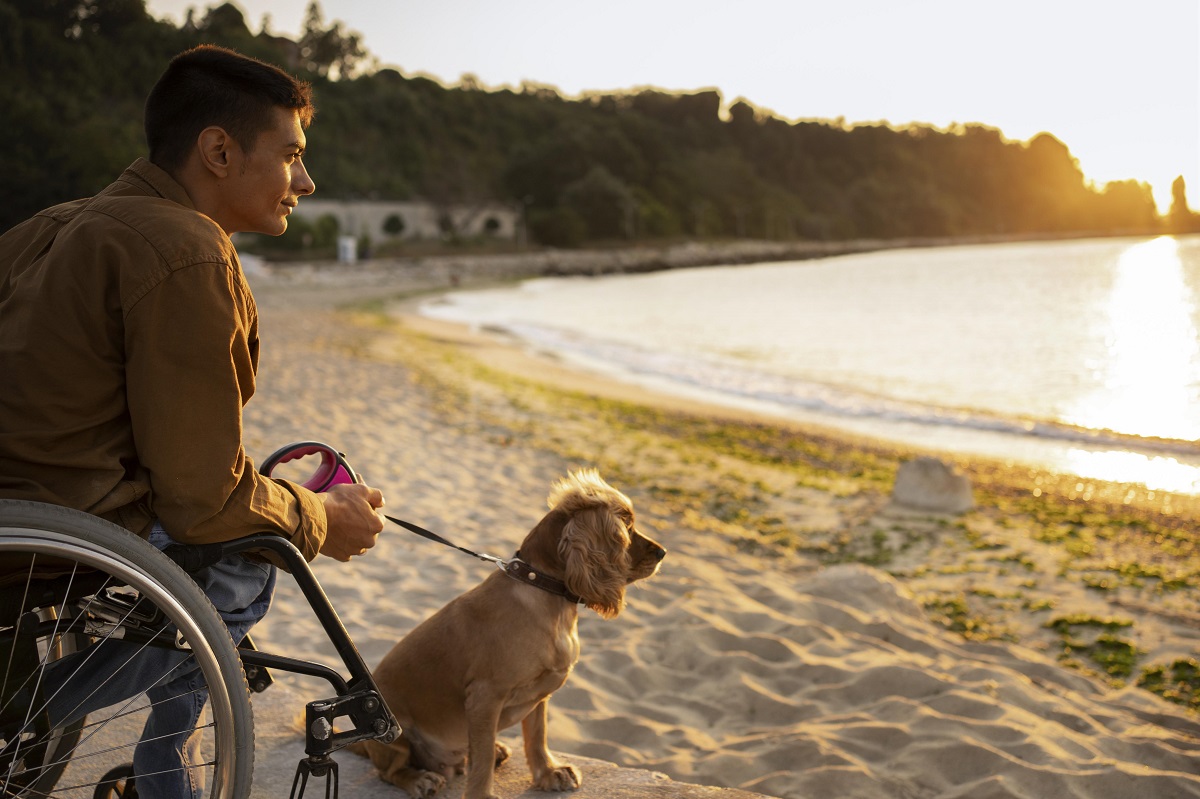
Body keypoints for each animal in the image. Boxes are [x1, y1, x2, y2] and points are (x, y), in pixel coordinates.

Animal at [350, 467, 667, 796]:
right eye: (626, 526)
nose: (663, 552)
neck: (546, 595)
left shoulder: (541, 693)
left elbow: (537, 735)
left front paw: (549, 772)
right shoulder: (484, 697)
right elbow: (483, 758)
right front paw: (482, 794)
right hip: (394, 731)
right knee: (389, 771)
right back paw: (419, 779)